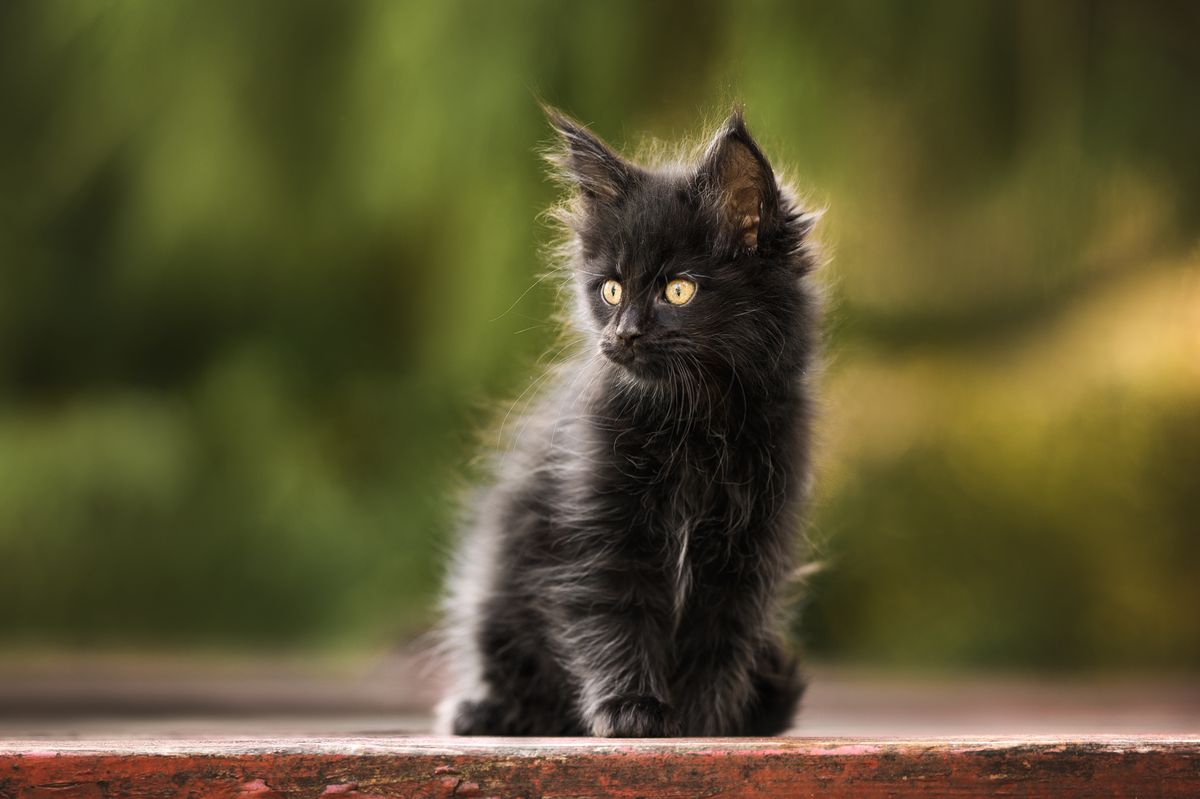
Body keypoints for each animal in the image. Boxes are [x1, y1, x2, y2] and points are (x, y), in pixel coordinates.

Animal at [436, 105, 820, 734]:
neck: (696, 424)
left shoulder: (749, 544)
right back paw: (485, 712)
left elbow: (720, 636)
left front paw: (702, 723)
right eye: (611, 290)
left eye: (679, 290)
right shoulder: (601, 526)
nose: (623, 336)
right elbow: (617, 618)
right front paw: (631, 711)